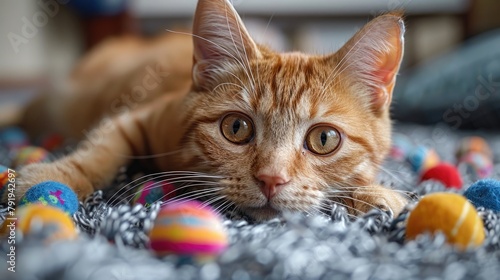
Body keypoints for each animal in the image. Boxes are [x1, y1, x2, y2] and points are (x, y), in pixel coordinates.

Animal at [9, 0, 406, 222]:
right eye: (236, 128)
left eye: (324, 139)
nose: (271, 179)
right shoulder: (137, 118)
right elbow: (101, 152)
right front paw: (55, 177)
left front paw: (377, 197)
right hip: (57, 102)